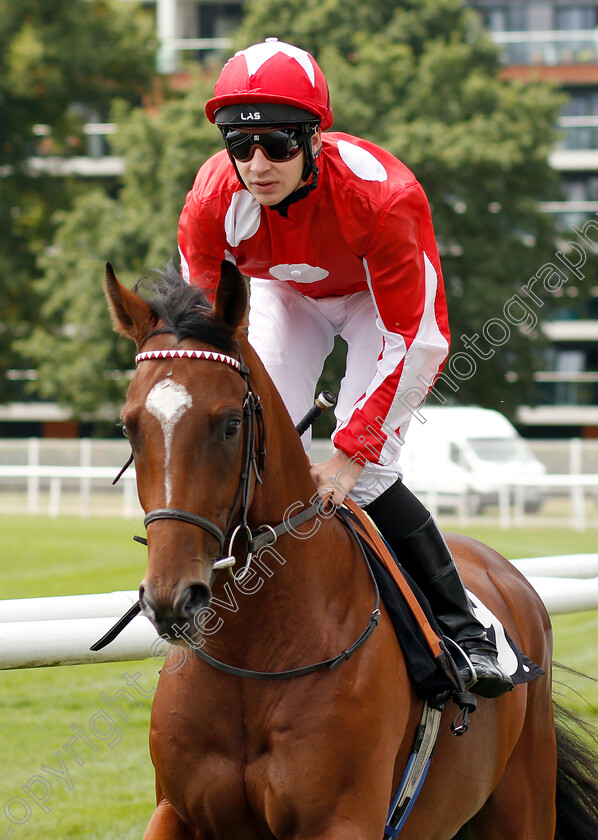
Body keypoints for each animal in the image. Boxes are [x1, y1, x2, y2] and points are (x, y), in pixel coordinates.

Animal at [104, 258, 598, 840]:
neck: (255, 656)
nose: (171, 597)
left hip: (523, 804)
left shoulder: (342, 820)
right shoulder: (175, 810)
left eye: (229, 424)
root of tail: (508, 573)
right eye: (129, 427)